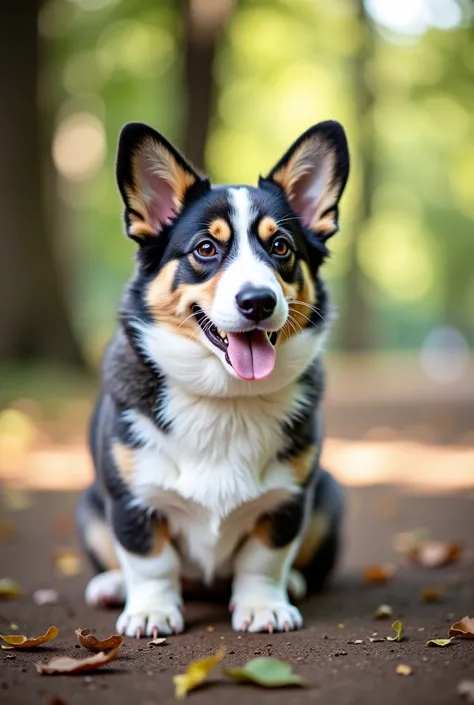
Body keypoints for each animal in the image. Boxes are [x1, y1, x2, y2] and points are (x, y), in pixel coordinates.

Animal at [78, 121, 350, 640]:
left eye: (281, 247)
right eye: (206, 248)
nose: (258, 301)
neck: (226, 397)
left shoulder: (288, 501)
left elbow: (263, 560)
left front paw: (264, 607)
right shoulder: (131, 501)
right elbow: (150, 561)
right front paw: (150, 611)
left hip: (329, 495)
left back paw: (296, 583)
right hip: (89, 506)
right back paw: (111, 586)